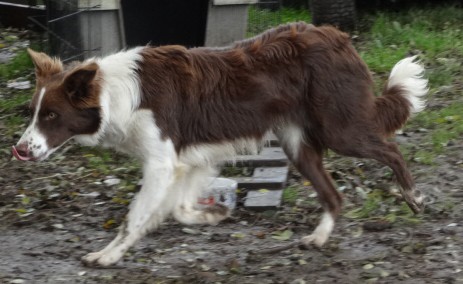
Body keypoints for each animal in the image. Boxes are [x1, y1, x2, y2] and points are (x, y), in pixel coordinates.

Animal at [12, 22, 430, 266]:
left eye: (51, 115)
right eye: (32, 113)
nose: (20, 150)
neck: (114, 94)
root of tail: (338, 36)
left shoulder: (162, 163)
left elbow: (133, 219)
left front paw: (107, 255)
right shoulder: (192, 161)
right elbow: (178, 209)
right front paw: (212, 215)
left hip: (339, 129)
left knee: (391, 149)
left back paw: (412, 196)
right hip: (298, 145)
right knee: (334, 195)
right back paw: (320, 236)